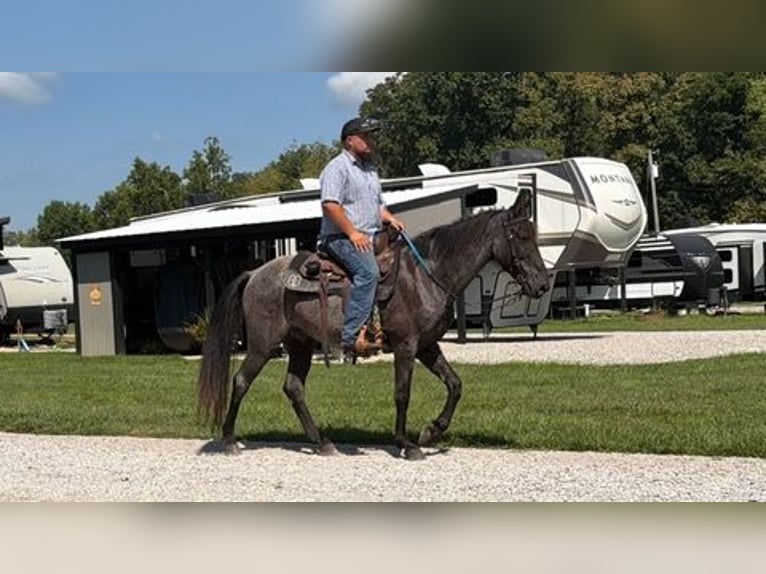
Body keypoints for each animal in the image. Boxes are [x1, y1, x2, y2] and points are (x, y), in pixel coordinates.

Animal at [197, 189, 550, 460]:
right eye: (520, 235)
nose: (543, 284)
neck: (427, 275)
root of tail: (255, 273)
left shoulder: (427, 345)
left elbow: (455, 384)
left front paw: (430, 431)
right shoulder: (406, 346)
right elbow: (402, 393)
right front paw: (406, 443)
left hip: (300, 345)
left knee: (294, 388)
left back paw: (321, 442)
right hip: (263, 345)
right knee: (241, 381)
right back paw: (229, 440)